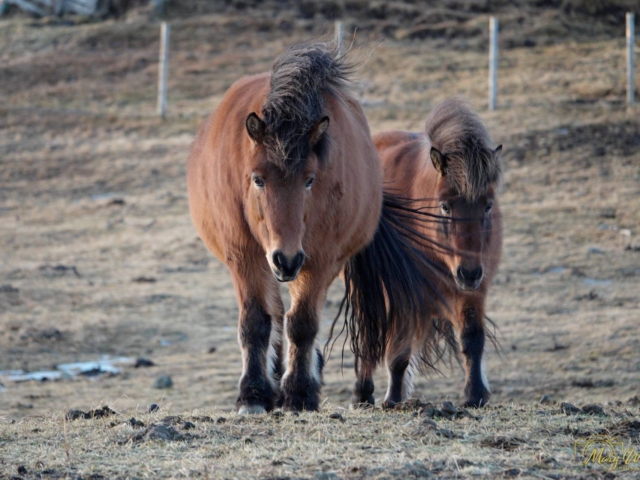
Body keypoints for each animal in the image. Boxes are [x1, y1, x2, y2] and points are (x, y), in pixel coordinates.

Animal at [187, 41, 445, 413]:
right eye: (257, 179)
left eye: (309, 180)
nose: (285, 259)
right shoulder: (244, 256)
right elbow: (255, 323)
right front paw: (253, 395)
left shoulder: (319, 259)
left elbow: (303, 324)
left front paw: (299, 393)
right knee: (274, 314)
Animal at [349, 98, 503, 409]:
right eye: (445, 206)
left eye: (488, 205)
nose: (468, 272)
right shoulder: (405, 291)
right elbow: (398, 348)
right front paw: (393, 398)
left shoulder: (473, 291)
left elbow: (472, 338)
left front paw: (475, 395)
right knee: (370, 332)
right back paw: (363, 393)